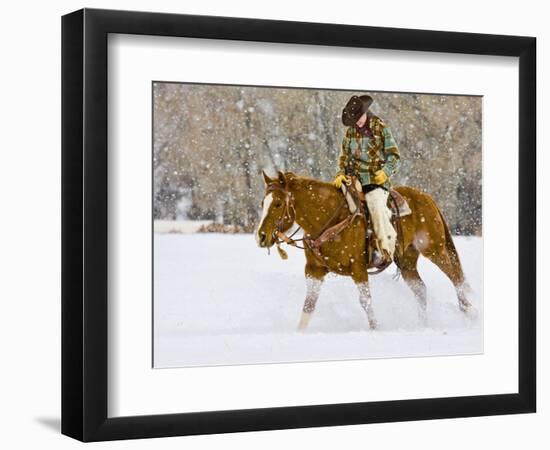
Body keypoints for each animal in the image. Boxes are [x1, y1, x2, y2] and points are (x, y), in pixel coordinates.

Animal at [256, 170, 474, 330]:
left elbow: (366, 302)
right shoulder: (314, 270)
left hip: (435, 250)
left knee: (456, 277)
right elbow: (309, 305)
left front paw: (375, 329)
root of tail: (427, 197)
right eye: (262, 203)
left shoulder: (358, 269)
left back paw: (470, 313)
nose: (261, 236)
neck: (330, 220)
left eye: (278, 203)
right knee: (421, 290)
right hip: (407, 262)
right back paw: (423, 325)